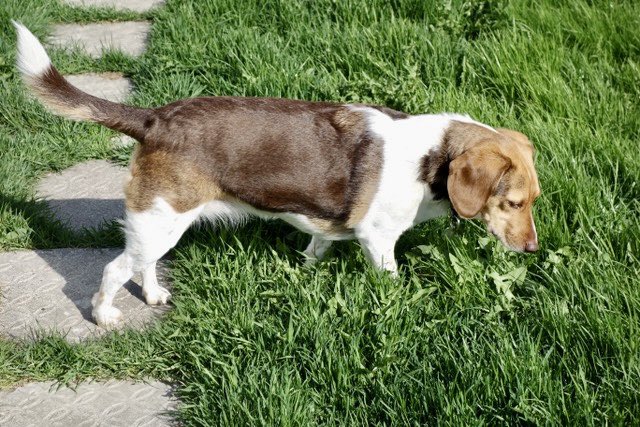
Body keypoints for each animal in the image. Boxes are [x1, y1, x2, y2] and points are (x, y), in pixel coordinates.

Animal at [13, 22, 540, 328]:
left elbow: (315, 250)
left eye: (534, 200)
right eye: (513, 203)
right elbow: (390, 279)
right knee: (113, 269)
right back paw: (104, 315)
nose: (534, 249)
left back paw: (155, 293)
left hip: (160, 225)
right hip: (161, 220)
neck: (432, 157)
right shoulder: (378, 240)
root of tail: (155, 118)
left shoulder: (328, 229)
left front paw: (305, 274)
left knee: (140, 264)